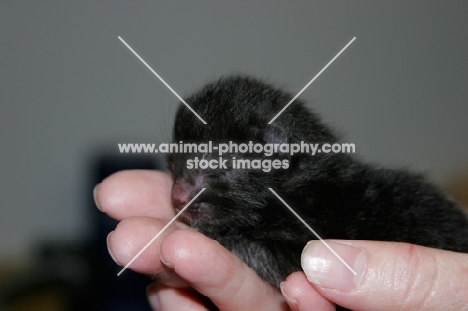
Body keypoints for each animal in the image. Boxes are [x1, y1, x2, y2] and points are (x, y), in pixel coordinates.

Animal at [166, 75, 468, 290]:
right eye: (173, 162)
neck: (305, 191)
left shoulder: (303, 247)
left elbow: (254, 249)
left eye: (217, 166)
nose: (177, 198)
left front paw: (218, 234)